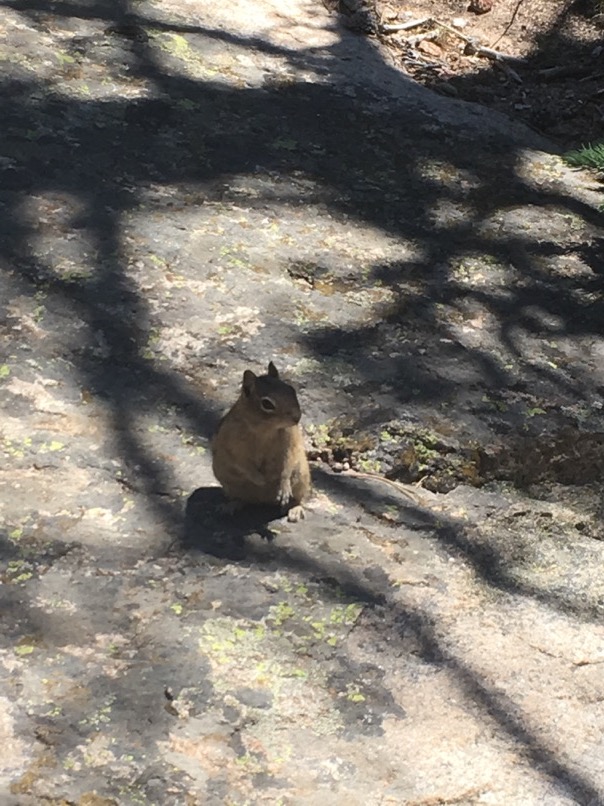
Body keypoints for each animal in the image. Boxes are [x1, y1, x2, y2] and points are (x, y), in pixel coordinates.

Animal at [211, 362, 312, 524]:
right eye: (267, 404)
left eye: (291, 390)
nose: (297, 417)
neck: (265, 428)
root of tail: (265, 501)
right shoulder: (229, 442)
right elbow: (241, 463)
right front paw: (260, 479)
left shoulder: (291, 441)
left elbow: (287, 463)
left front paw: (282, 484)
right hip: (228, 481)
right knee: (242, 499)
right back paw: (230, 506)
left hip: (301, 477)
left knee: (298, 499)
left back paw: (294, 509)